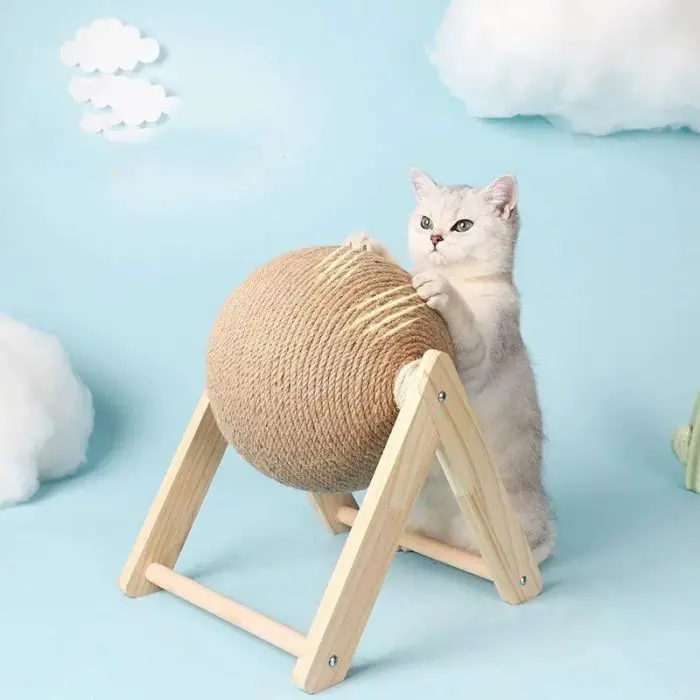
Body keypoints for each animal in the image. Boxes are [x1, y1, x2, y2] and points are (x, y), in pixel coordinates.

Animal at [344, 168, 552, 564]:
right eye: (426, 222)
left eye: (463, 225)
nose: (435, 237)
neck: (461, 281)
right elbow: (402, 269)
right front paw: (368, 245)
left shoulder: (480, 356)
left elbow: (465, 327)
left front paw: (440, 290)